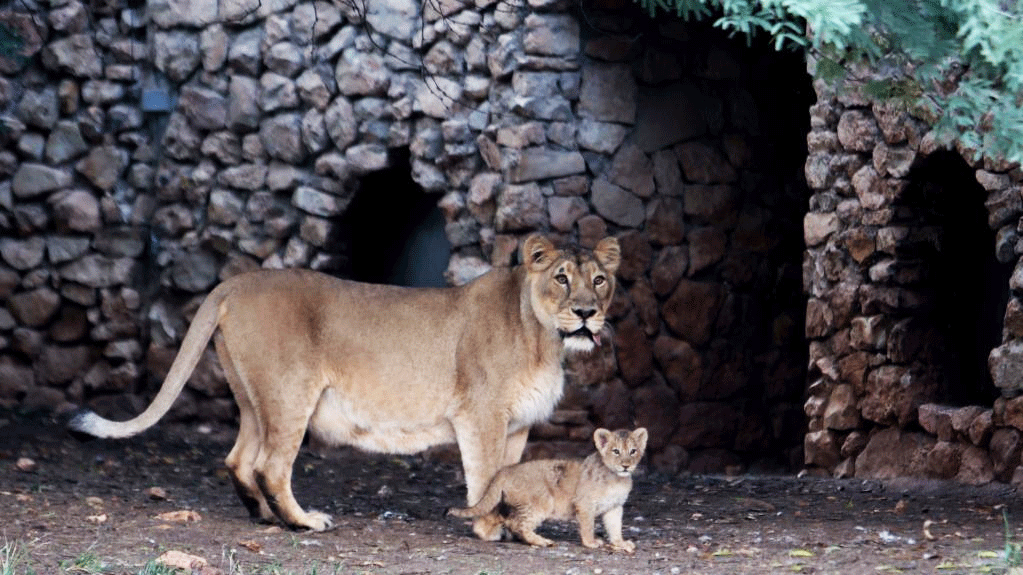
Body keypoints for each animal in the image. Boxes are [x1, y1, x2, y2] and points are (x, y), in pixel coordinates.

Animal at [69, 234, 621, 537]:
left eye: (599, 280)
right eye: (562, 278)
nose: (587, 314)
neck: (544, 340)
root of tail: (233, 282)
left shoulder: (517, 425)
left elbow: (508, 477)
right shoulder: (480, 415)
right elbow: (486, 478)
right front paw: (488, 527)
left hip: (253, 398)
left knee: (239, 459)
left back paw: (265, 517)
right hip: (291, 392)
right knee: (271, 465)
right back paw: (302, 522)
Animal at [448, 427, 647, 552]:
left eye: (633, 451)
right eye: (615, 451)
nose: (626, 466)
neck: (617, 479)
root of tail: (505, 470)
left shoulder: (614, 507)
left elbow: (615, 527)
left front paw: (621, 543)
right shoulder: (584, 504)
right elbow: (588, 526)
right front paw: (591, 543)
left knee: (508, 520)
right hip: (541, 502)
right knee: (518, 524)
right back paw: (542, 541)